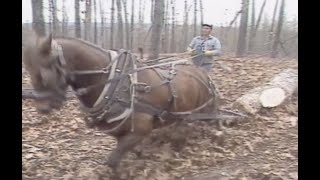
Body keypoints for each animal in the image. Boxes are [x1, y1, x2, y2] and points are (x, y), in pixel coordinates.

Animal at [22, 32, 220, 169]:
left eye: (44, 73)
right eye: (29, 70)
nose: (42, 108)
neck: (113, 81)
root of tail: (202, 72)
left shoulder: (139, 130)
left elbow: (112, 160)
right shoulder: (121, 131)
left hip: (202, 111)